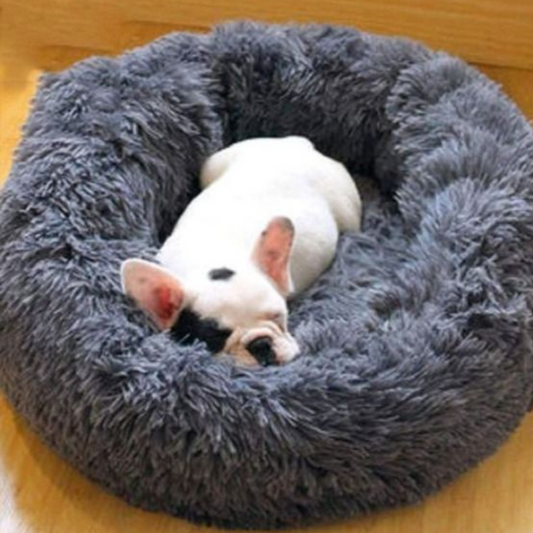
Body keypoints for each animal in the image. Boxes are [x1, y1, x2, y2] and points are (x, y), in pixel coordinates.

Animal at [121, 136, 362, 366]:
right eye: (214, 337)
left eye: (278, 316)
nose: (261, 344)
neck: (212, 256)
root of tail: (299, 146)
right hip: (212, 165)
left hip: (347, 213)